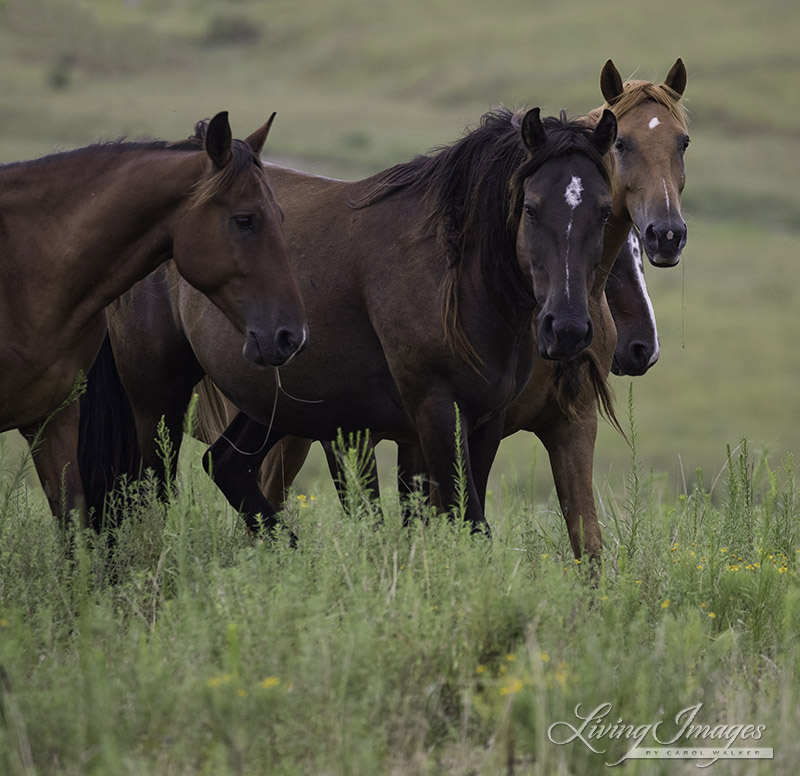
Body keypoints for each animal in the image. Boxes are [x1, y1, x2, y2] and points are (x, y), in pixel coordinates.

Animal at [79, 106, 620, 536]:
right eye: (530, 207)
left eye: (604, 211)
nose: (567, 329)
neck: (456, 278)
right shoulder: (436, 411)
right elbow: (467, 522)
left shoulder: (484, 421)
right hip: (158, 402)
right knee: (148, 494)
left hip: (271, 401)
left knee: (225, 465)